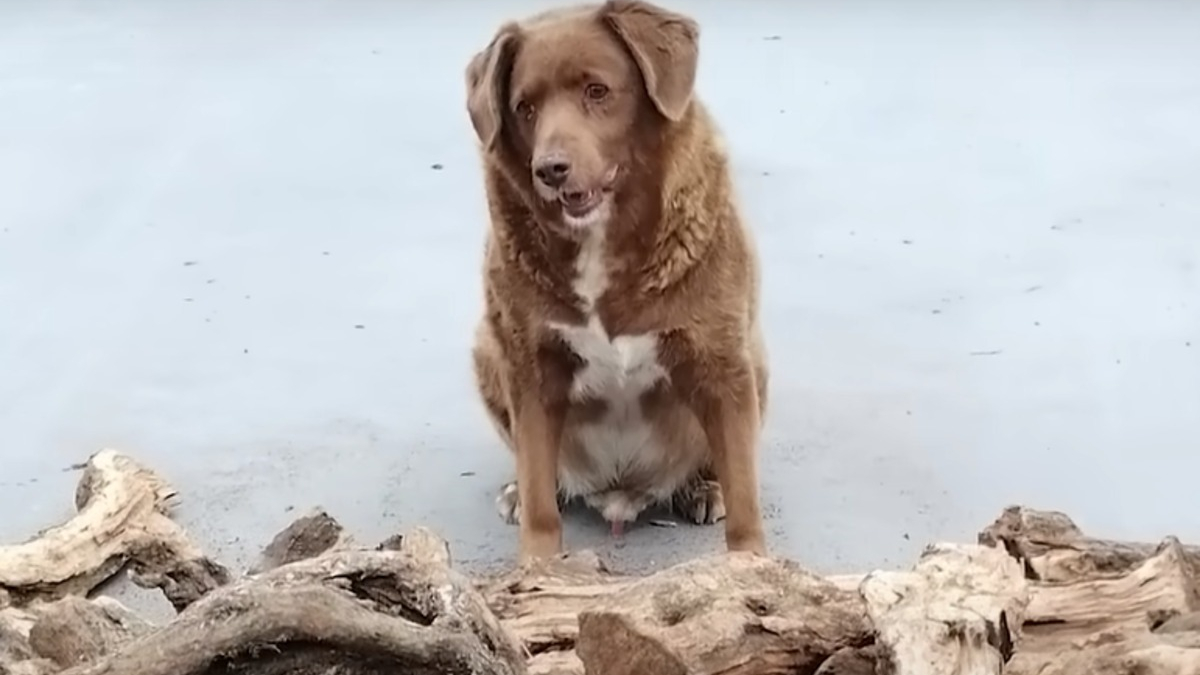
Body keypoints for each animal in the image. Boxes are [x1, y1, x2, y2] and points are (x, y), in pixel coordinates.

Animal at [465, 0, 768, 559]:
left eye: (596, 90)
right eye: (525, 107)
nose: (550, 169)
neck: (600, 239)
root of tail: (620, 491)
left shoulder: (722, 364)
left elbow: (745, 498)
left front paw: (751, 565)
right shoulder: (530, 367)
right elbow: (539, 499)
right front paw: (537, 564)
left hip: (755, 362)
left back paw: (701, 487)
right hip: (486, 348)